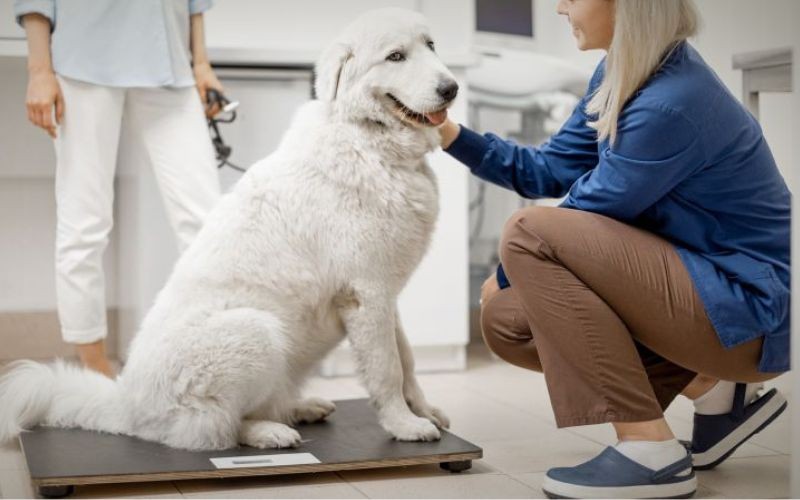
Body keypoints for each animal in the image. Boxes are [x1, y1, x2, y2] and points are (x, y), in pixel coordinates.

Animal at [0, 8, 460, 454]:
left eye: (431, 46)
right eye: (395, 56)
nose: (453, 88)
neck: (369, 140)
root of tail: (126, 404)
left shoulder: (384, 295)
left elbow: (407, 360)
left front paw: (424, 410)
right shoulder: (366, 294)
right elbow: (386, 369)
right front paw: (404, 425)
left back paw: (301, 408)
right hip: (255, 330)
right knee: (210, 429)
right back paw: (269, 433)